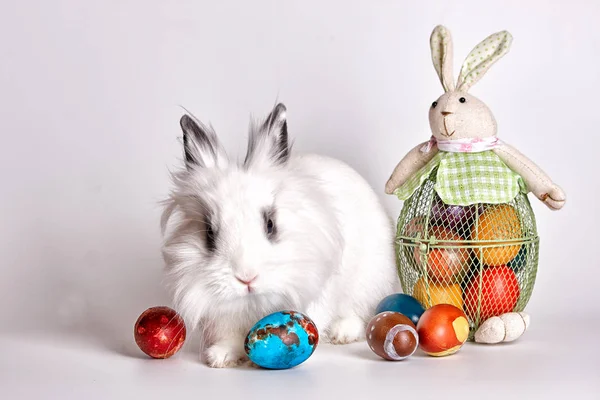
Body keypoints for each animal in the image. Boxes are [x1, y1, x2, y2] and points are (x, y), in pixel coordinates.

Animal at [163, 104, 398, 368]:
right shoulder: (223, 314)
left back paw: (342, 332)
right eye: (209, 233)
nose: (246, 278)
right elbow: (229, 335)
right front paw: (221, 357)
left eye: (270, 224)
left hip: (369, 280)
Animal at [386, 26, 564, 211]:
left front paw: (554, 196)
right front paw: (390, 184)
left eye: (462, 100)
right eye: (434, 104)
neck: (463, 146)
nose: (445, 113)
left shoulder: (496, 146)